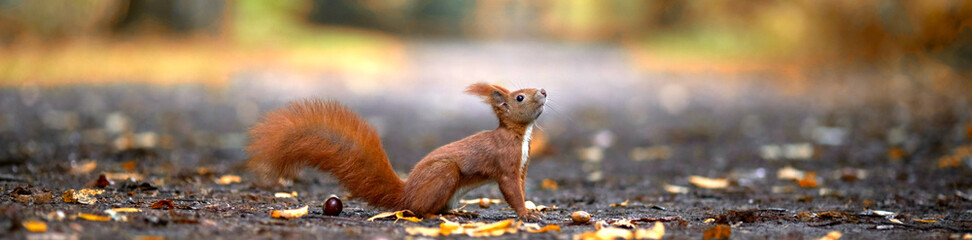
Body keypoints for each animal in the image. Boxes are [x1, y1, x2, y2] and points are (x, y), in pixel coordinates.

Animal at [245, 82, 548, 219]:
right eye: (520, 97)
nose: (544, 91)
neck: (519, 135)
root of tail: (406, 194)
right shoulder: (506, 165)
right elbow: (511, 190)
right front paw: (526, 214)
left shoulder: (522, 166)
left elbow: (520, 187)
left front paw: (529, 210)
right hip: (445, 173)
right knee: (420, 210)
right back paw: (435, 215)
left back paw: (458, 214)